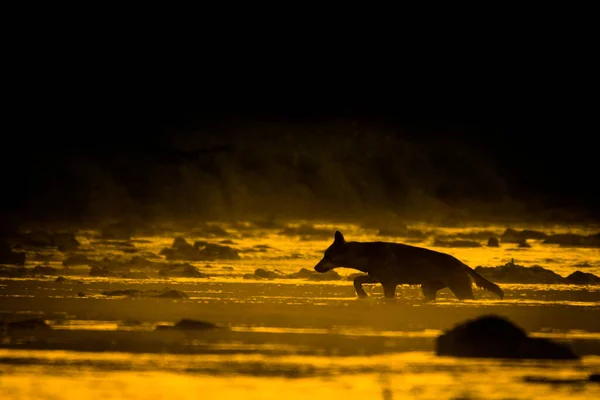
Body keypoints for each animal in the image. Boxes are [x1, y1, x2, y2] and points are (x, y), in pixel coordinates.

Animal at [312, 231, 504, 300]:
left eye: (327, 256)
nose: (315, 268)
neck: (365, 254)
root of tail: (462, 263)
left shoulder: (388, 283)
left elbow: (357, 281)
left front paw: (363, 294)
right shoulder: (377, 278)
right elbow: (356, 280)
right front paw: (362, 295)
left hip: (460, 290)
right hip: (427, 288)